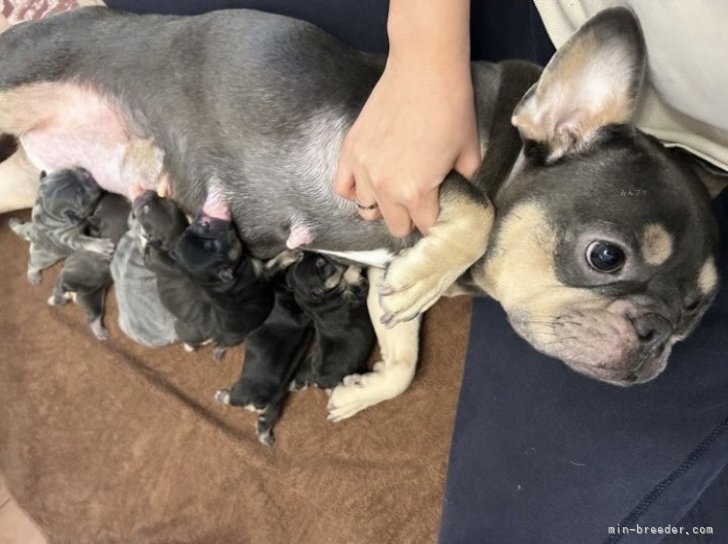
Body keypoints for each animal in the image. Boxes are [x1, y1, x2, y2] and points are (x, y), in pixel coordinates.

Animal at [48, 193, 132, 340]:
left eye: (99, 206)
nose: (110, 193)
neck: (115, 238)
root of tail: (75, 288)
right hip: (93, 300)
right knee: (94, 317)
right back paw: (101, 333)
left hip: (64, 279)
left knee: (59, 293)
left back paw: (52, 300)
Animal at [134, 191, 276, 356]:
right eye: (164, 198)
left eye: (145, 210)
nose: (148, 192)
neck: (173, 240)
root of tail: (212, 336)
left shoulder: (150, 261)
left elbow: (145, 250)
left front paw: (140, 235)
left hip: (180, 328)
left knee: (190, 344)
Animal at [213, 274, 310, 444]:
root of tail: (263, 402)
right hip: (274, 409)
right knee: (266, 424)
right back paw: (266, 439)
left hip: (239, 392)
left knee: (231, 399)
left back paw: (221, 395)